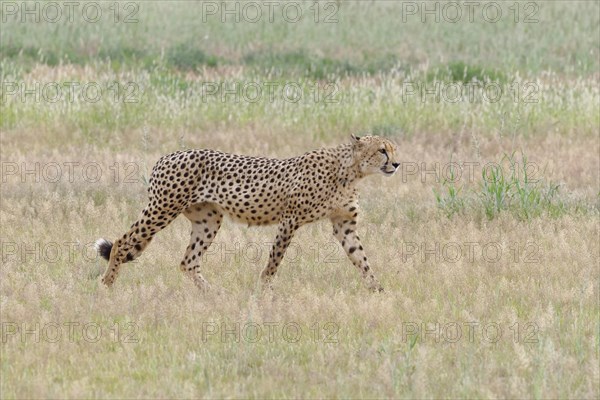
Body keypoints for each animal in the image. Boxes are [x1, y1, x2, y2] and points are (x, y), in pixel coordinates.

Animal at [96, 136, 400, 292]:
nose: (397, 164)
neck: (351, 171)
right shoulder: (290, 220)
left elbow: (362, 259)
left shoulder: (344, 225)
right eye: (381, 150)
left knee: (188, 262)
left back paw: (214, 294)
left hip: (209, 219)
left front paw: (378, 290)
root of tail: (167, 156)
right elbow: (275, 260)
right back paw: (107, 285)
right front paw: (263, 290)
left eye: (393, 150)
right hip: (163, 209)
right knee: (122, 243)